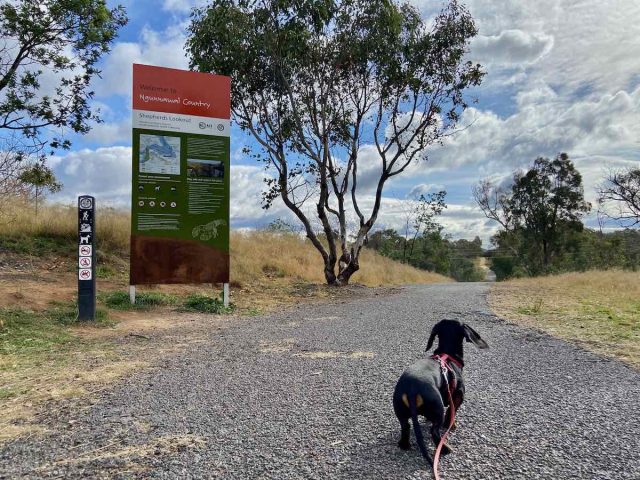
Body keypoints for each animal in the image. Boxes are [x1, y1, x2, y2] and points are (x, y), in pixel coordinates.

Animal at [392, 318, 488, 464]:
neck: (447, 355)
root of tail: (412, 389)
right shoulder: (458, 396)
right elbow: (451, 412)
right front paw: (451, 425)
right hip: (438, 409)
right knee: (434, 431)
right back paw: (445, 449)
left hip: (401, 411)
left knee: (405, 427)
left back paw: (405, 444)